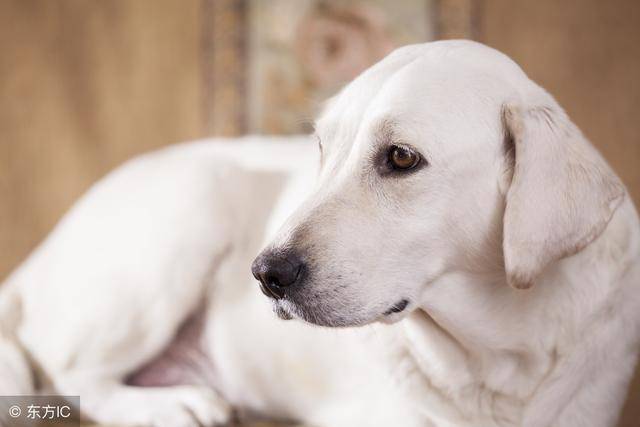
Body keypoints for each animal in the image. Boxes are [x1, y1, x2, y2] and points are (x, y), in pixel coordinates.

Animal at [1, 41, 640, 427]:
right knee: (68, 374)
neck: (499, 354)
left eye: (401, 157)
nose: (265, 274)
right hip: (196, 203)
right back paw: (173, 405)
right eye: (322, 148)